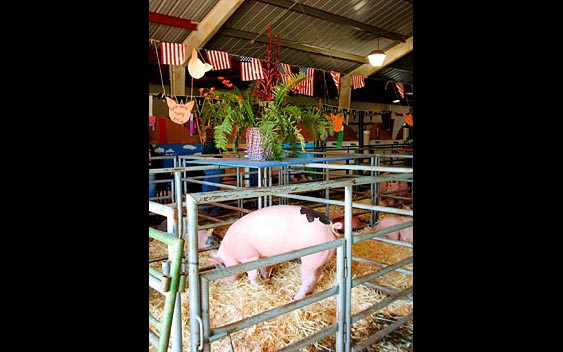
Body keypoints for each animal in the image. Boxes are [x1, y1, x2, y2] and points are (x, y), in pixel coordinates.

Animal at [209, 205, 344, 302]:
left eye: (221, 267)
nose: (224, 283)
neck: (230, 251)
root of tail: (331, 227)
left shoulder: (249, 256)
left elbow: (252, 275)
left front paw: (256, 286)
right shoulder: (262, 256)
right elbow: (263, 268)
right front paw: (266, 279)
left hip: (311, 257)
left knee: (309, 278)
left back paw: (296, 298)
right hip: (319, 257)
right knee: (317, 274)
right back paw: (309, 292)